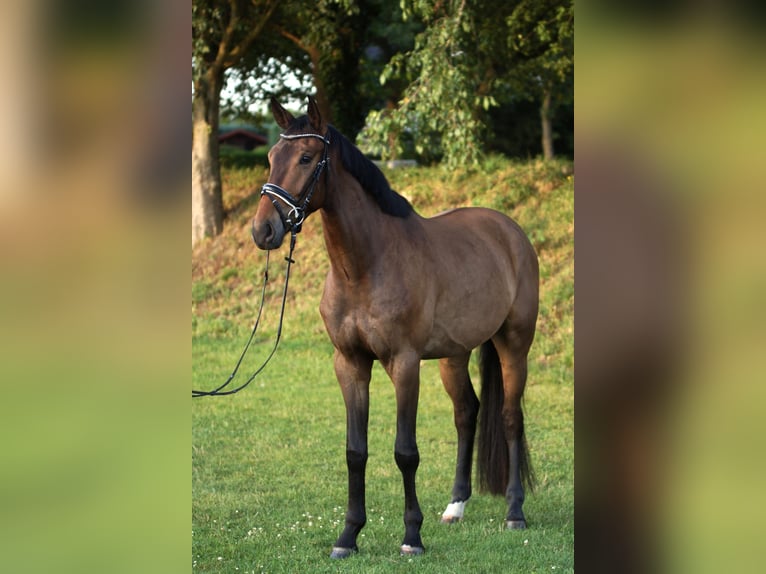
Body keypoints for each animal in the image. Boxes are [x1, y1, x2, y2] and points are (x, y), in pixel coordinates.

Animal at [251, 97, 539, 559]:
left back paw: (515, 511)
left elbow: (406, 452)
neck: (365, 266)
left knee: (511, 417)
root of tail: (511, 233)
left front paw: (411, 537)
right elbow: (355, 451)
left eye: (306, 157)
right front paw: (348, 536)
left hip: (514, 344)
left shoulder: (404, 364)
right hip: (454, 356)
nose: (263, 230)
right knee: (467, 414)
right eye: (271, 157)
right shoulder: (350, 364)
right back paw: (455, 507)